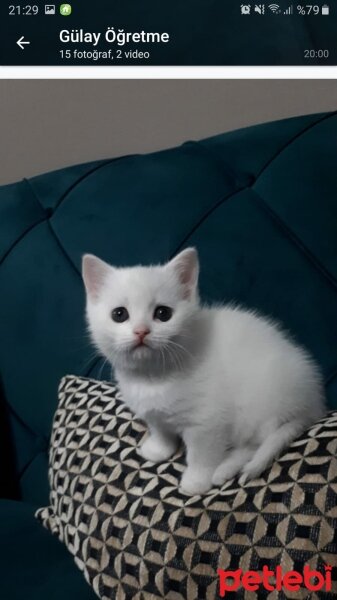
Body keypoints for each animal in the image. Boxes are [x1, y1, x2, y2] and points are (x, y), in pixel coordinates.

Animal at [80, 246, 322, 494]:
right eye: (119, 314)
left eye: (163, 313)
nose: (141, 331)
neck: (153, 377)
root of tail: (312, 403)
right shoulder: (153, 412)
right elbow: (160, 429)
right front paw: (158, 450)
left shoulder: (208, 422)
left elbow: (202, 455)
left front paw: (196, 482)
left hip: (259, 406)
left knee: (257, 442)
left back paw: (225, 469)